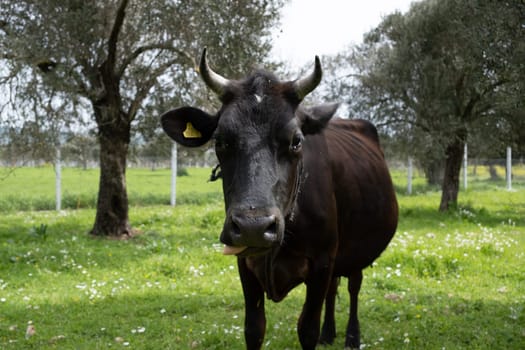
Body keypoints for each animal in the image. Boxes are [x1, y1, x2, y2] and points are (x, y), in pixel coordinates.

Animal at [161, 50, 398, 350]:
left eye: (296, 141)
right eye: (220, 141)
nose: (253, 227)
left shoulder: (321, 263)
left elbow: (307, 329)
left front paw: (323, 332)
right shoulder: (245, 264)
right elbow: (254, 329)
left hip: (358, 247)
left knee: (353, 284)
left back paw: (351, 337)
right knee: (335, 287)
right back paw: (329, 332)